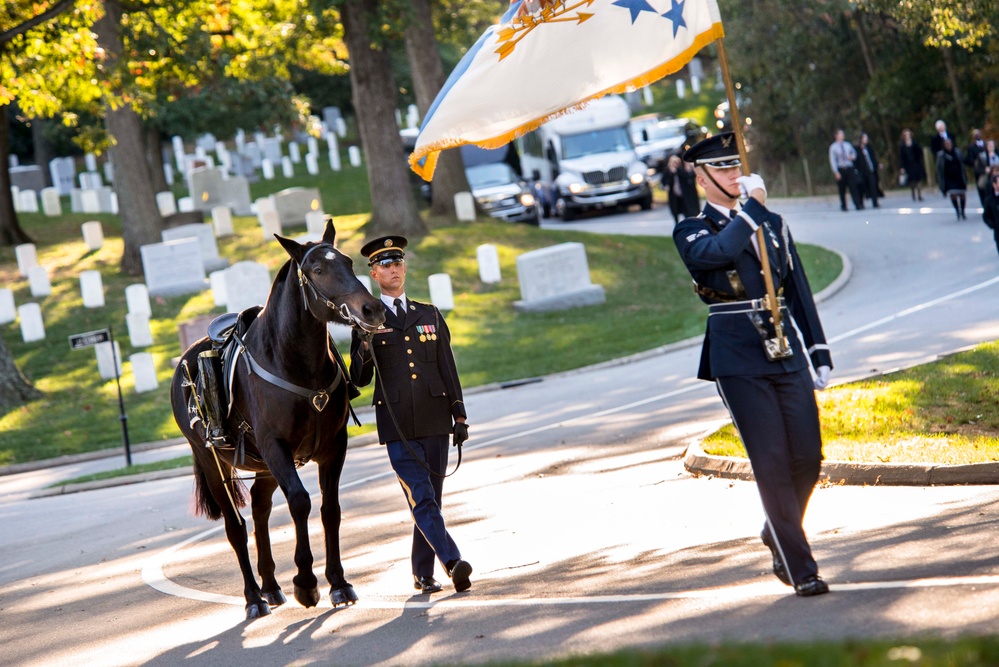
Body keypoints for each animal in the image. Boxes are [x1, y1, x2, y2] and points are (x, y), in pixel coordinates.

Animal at [170, 220, 384, 620]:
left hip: (263, 467)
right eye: (318, 269)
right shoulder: (276, 447)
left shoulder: (333, 447)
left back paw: (269, 585)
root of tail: (183, 363)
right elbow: (299, 502)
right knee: (236, 526)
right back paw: (254, 597)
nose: (372, 308)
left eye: (348, 261)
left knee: (259, 508)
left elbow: (330, 509)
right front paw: (306, 583)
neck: (296, 361)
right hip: (215, 463)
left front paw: (338, 582)